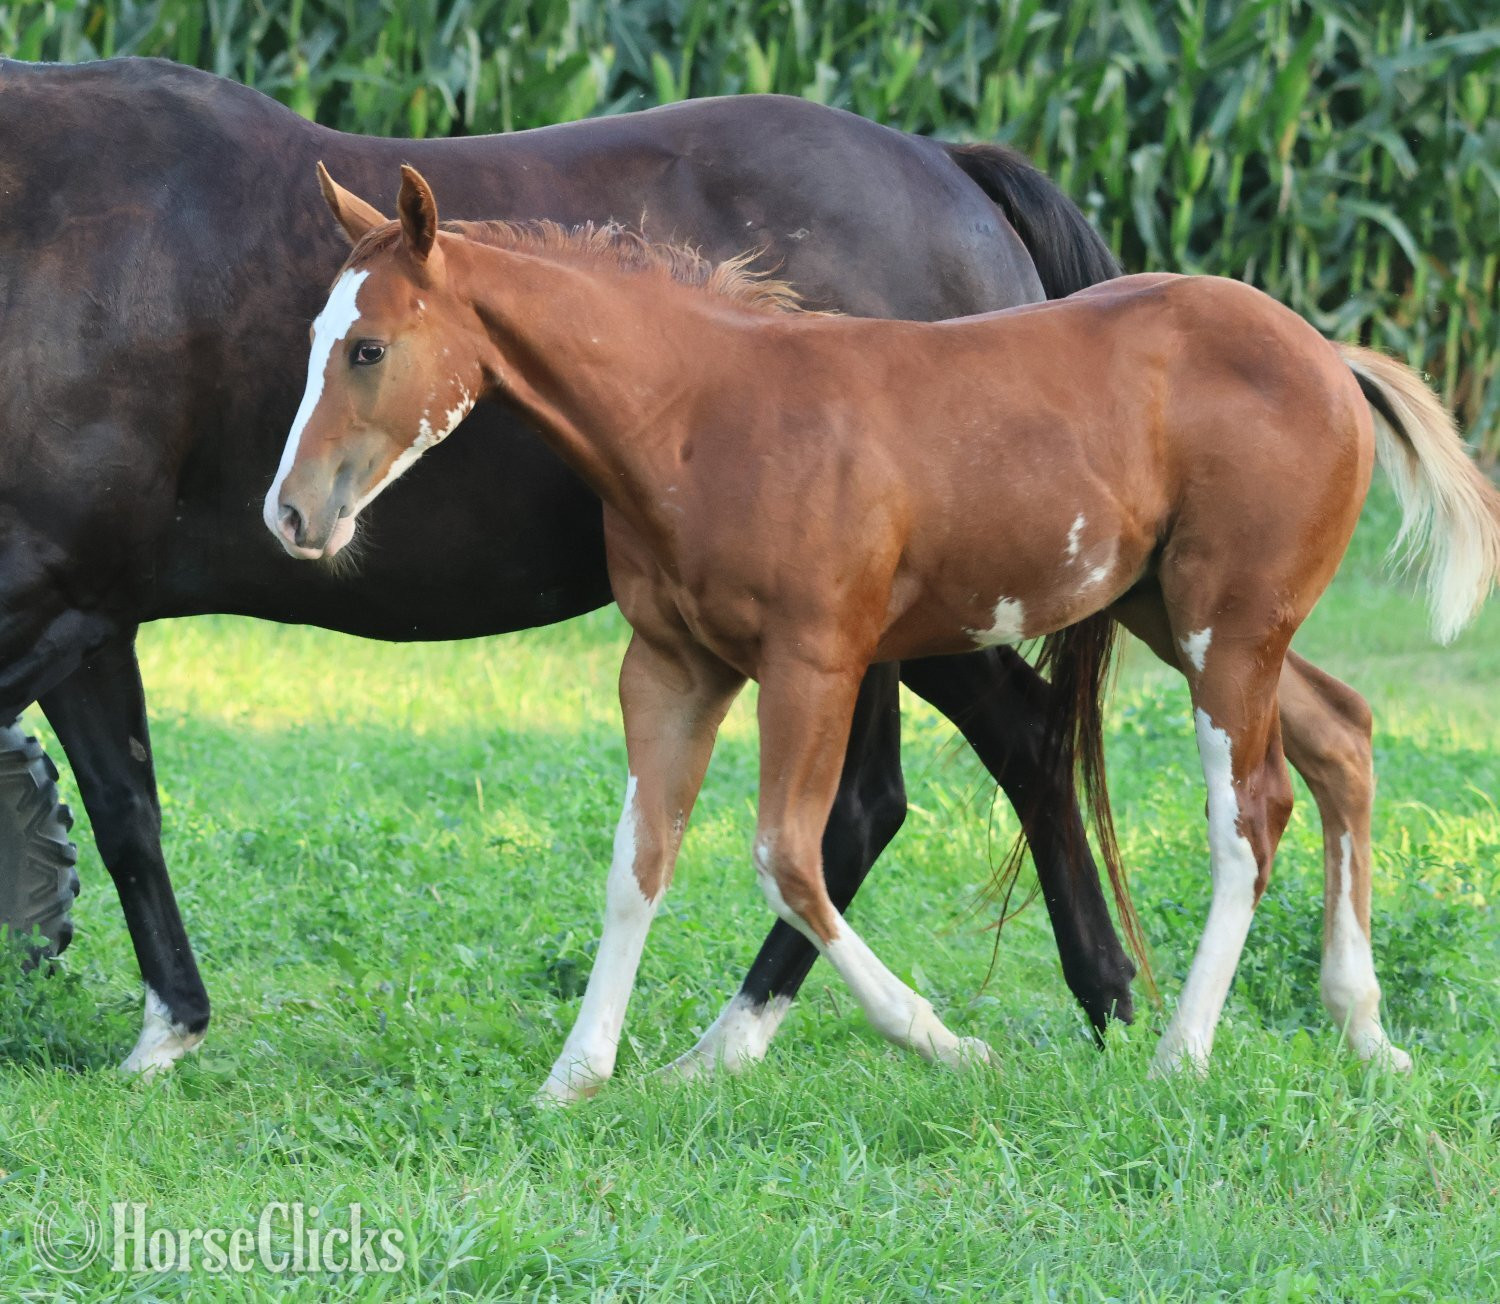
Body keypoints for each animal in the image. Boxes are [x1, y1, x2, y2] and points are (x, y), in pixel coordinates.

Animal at [1, 55, 1152, 1076]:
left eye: (366, 350)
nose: (292, 511)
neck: (47, 224)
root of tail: (951, 167)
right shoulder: (90, 617)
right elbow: (128, 812)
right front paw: (169, 1031)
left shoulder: (53, 603)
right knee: (971, 762)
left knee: (927, 781)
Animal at [271, 165, 1500, 1096]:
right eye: (315, 340)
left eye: (368, 348)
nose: (291, 514)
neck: (697, 413)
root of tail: (1331, 357)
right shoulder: (671, 666)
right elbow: (638, 861)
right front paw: (575, 1076)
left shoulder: (813, 660)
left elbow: (788, 857)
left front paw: (945, 1040)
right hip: (1184, 613)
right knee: (1342, 734)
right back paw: (1365, 1030)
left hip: (1225, 626)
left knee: (1251, 813)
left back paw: (1182, 1054)